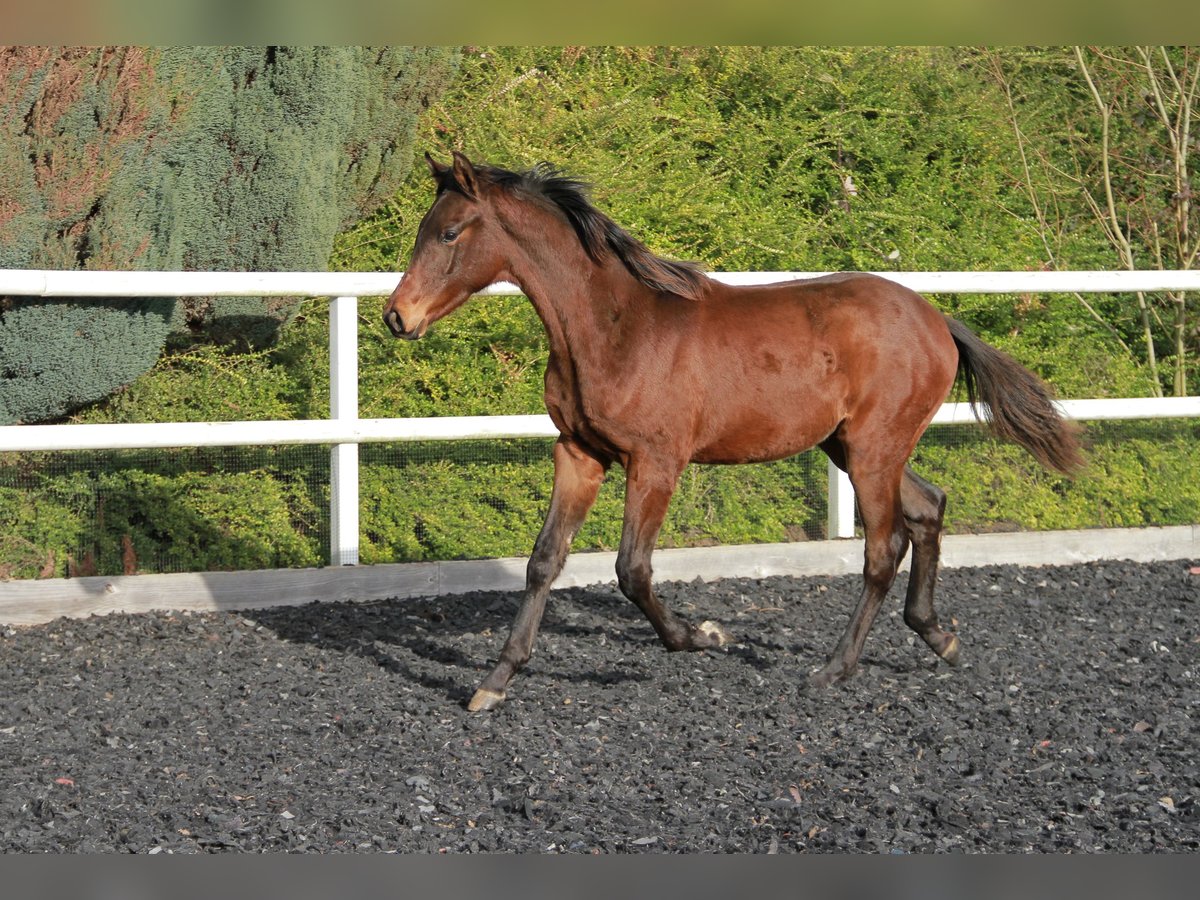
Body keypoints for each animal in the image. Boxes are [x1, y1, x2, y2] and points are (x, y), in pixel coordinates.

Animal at [388, 151, 1084, 710]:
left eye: (449, 231)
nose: (399, 316)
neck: (614, 328)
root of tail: (937, 319)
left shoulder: (656, 461)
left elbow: (631, 569)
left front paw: (702, 636)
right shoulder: (580, 453)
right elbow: (544, 560)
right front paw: (494, 682)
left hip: (873, 448)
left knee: (884, 548)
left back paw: (832, 670)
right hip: (853, 446)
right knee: (928, 508)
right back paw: (940, 637)